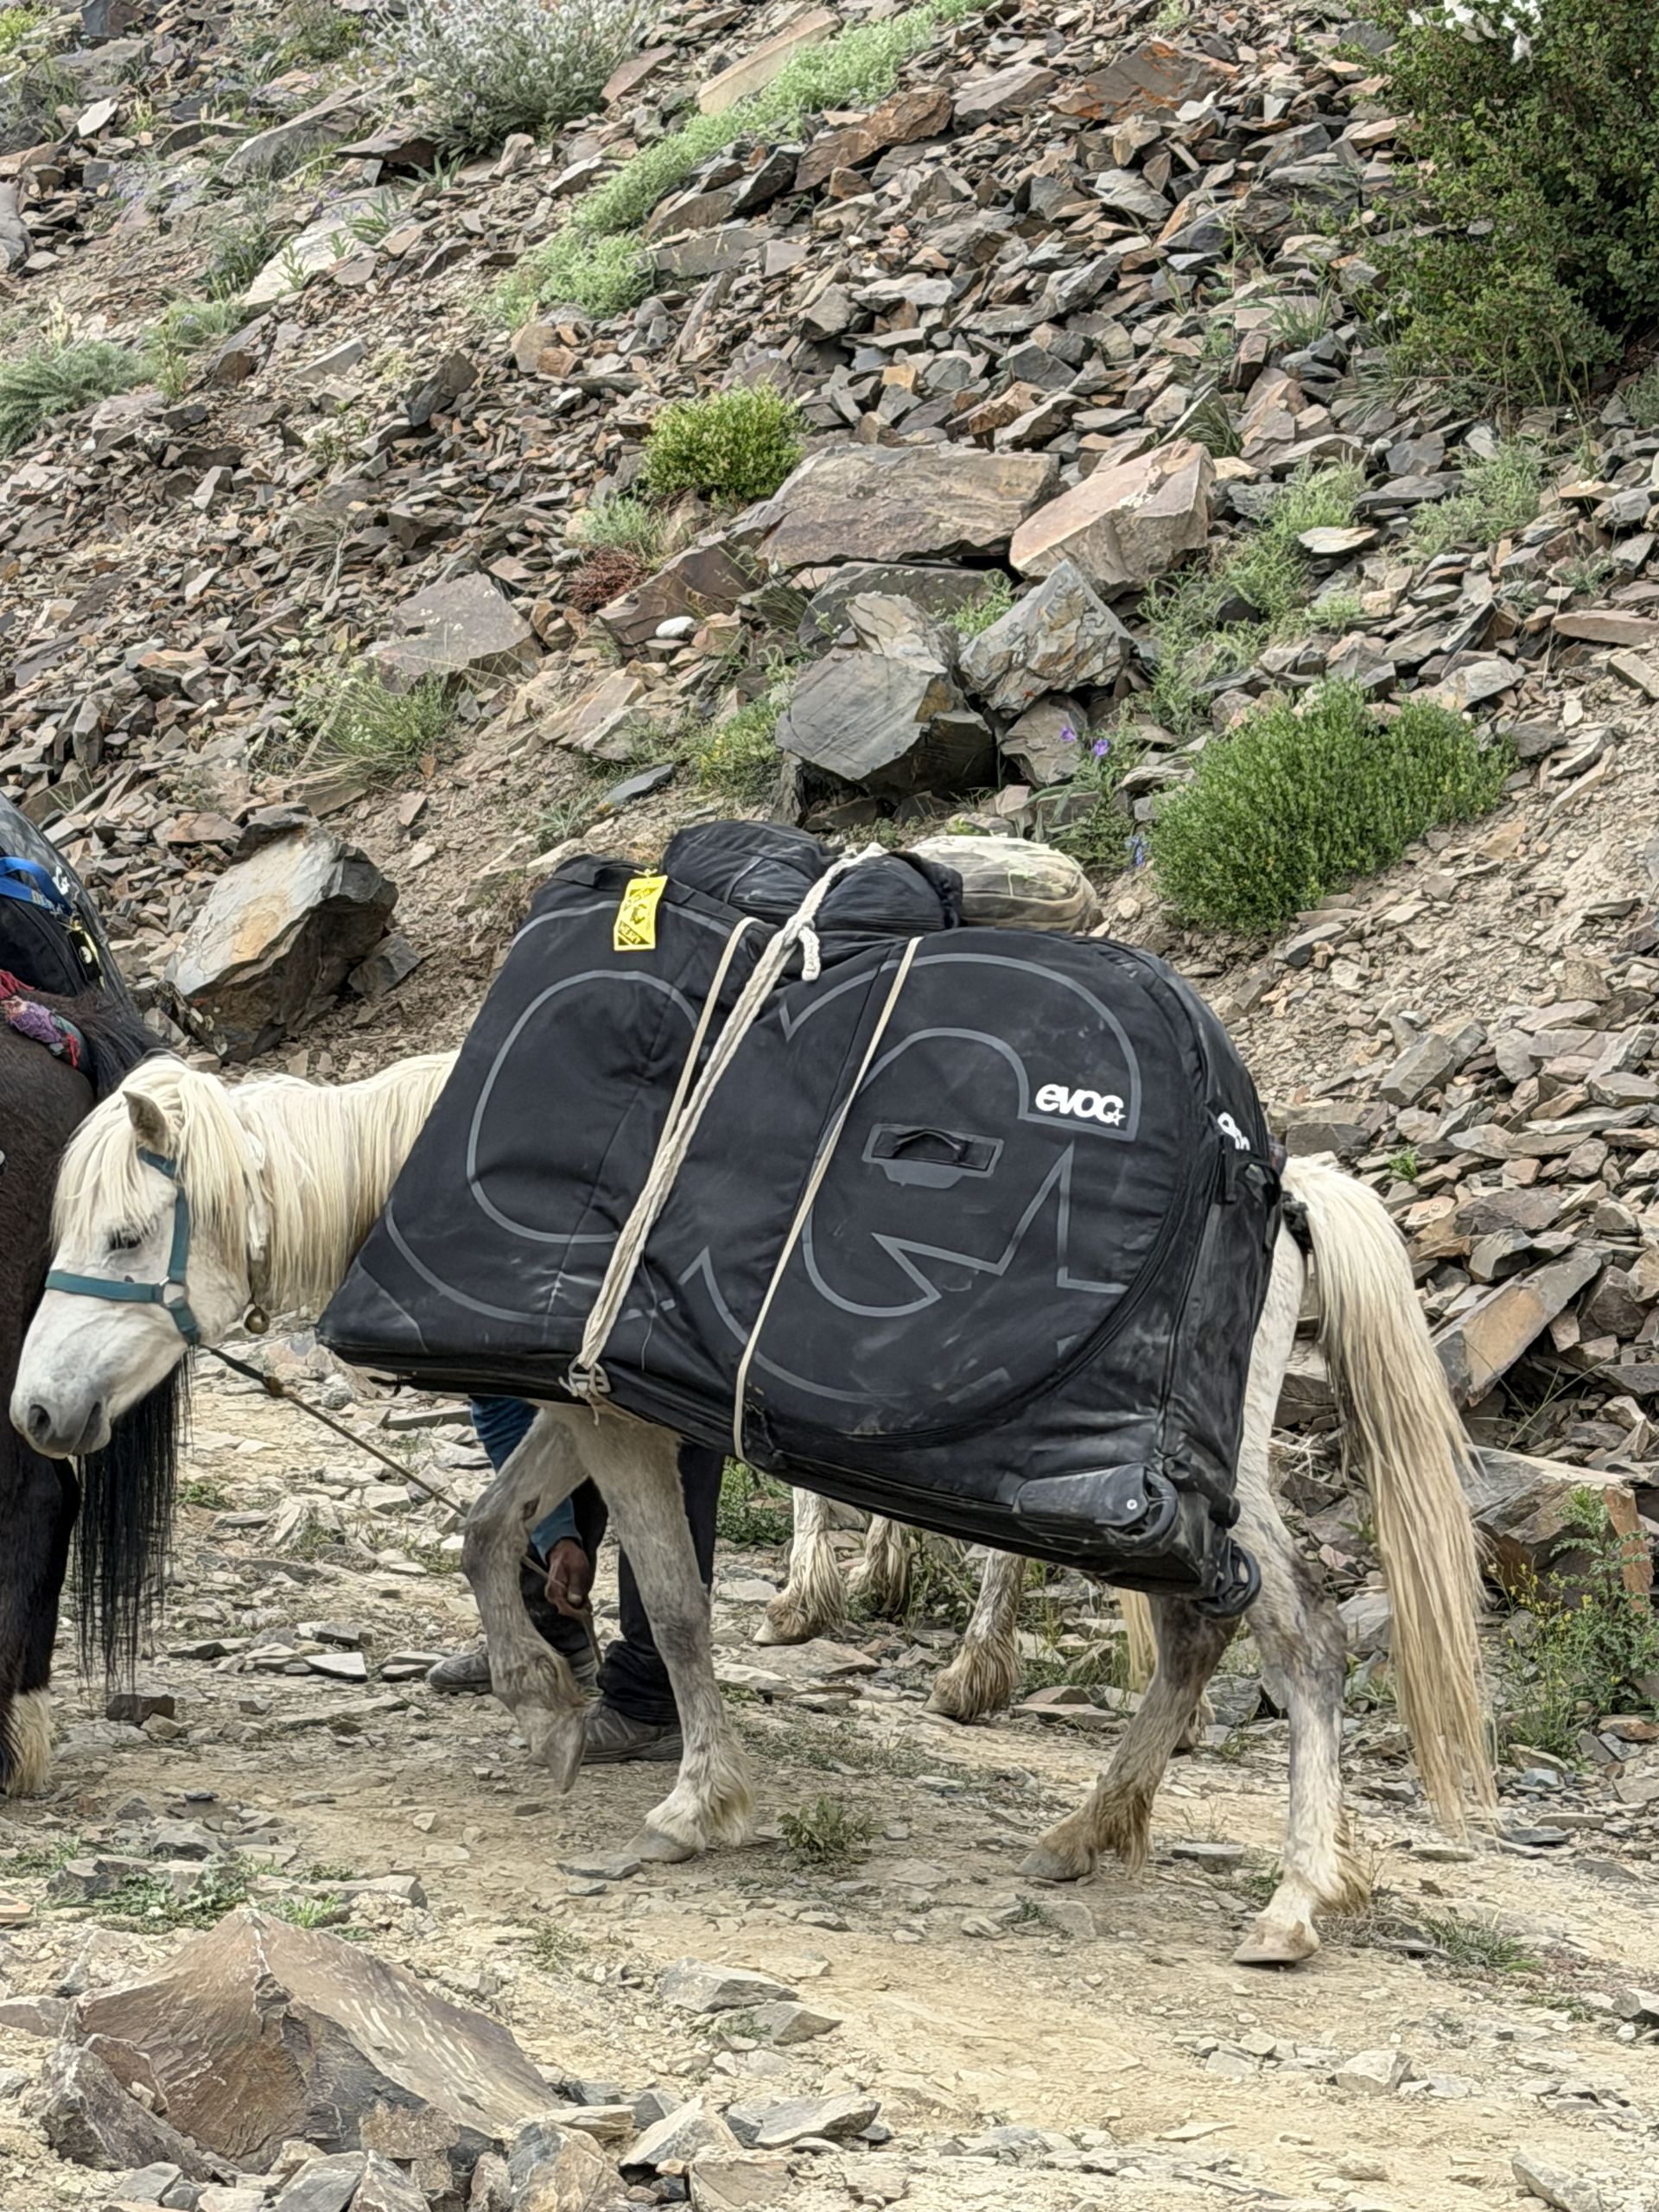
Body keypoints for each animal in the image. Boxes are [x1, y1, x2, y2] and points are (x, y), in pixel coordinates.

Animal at [14, 1052, 1493, 1965]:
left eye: (127, 1238)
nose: (34, 1415)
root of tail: (1288, 1193)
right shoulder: (581, 1407)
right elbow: (489, 1532)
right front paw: (543, 1708)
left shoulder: (617, 1419)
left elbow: (671, 1602)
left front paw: (696, 1802)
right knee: (1200, 1637)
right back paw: (1089, 1834)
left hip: (1199, 1485)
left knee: (1301, 1646)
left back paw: (1295, 1899)